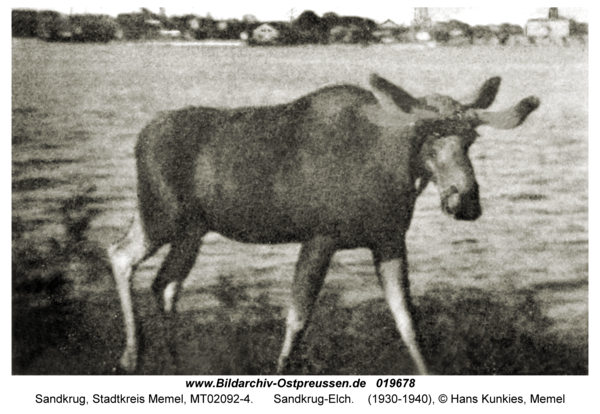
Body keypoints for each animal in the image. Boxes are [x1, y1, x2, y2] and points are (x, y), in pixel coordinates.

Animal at [108, 74, 540, 376]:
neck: (392, 172)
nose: (465, 201)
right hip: (159, 213)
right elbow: (297, 319)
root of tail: (140, 137)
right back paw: (130, 355)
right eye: (427, 138)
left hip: (193, 229)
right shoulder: (320, 237)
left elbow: (408, 322)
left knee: (165, 284)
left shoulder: (389, 241)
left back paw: (171, 360)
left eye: (471, 140)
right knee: (119, 254)